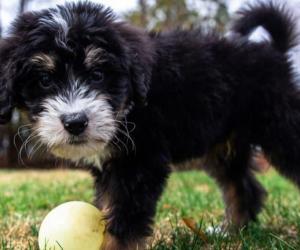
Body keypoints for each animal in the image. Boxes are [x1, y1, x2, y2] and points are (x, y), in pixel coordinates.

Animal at [0, 1, 300, 248]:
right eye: (44, 81)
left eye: (97, 75)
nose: (75, 122)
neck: (131, 105)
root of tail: (274, 52)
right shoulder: (113, 165)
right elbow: (109, 205)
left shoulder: (140, 163)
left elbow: (125, 217)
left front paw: (115, 247)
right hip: (225, 146)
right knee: (242, 187)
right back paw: (232, 232)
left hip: (282, 128)